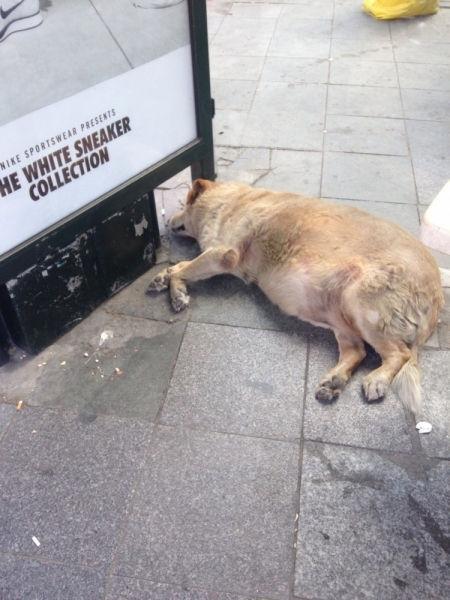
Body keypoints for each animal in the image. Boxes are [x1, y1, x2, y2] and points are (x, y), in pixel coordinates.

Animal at [149, 178, 444, 412]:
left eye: (184, 204)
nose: (167, 220)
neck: (233, 202)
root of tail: (437, 297)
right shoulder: (220, 258)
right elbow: (180, 267)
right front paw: (165, 279)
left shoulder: (223, 254)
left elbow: (183, 268)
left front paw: (176, 289)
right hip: (340, 314)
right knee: (357, 352)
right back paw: (335, 380)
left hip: (360, 303)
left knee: (399, 353)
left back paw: (377, 379)